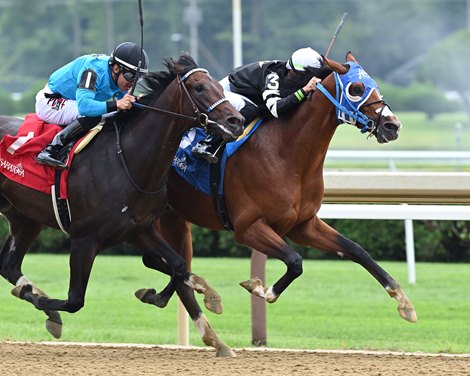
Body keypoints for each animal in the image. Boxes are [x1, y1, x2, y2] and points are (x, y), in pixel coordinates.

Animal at [0, 54, 244, 356]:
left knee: (9, 265)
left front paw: (158, 294)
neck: (128, 160)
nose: (236, 121)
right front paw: (41, 304)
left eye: (219, 86)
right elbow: (74, 300)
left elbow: (178, 266)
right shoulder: (84, 239)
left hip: (24, 217)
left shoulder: (139, 229)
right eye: (199, 87)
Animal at [159, 51, 418, 324]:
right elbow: (295, 261)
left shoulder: (303, 225)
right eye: (356, 88)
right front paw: (260, 288)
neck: (287, 153)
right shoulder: (248, 227)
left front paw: (403, 300)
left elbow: (356, 250)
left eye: (374, 84)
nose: (392, 126)